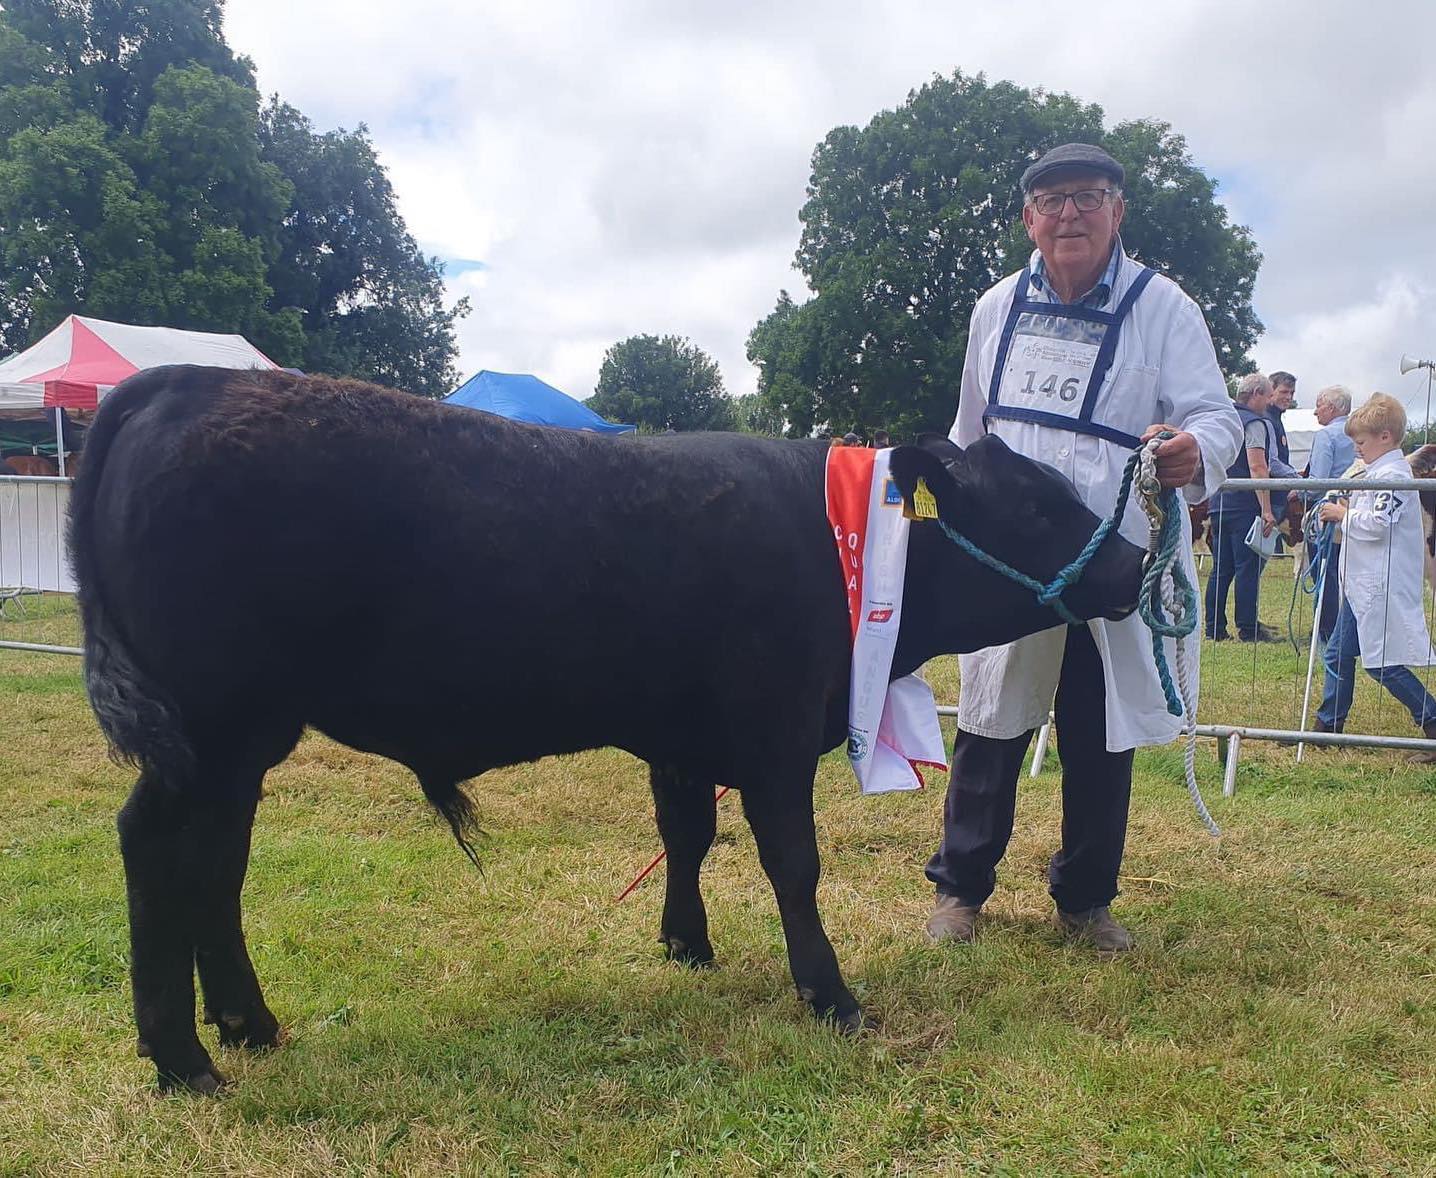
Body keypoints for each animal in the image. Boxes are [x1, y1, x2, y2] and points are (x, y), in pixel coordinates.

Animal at [69, 366, 1146, 1093]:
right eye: (1036, 504)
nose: (1133, 563)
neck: (839, 541)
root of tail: (183, 380)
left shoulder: (681, 734)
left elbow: (687, 833)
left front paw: (685, 943)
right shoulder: (771, 730)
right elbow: (791, 864)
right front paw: (829, 993)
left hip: (242, 739)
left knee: (216, 861)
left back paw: (246, 1023)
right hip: (208, 724)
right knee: (153, 846)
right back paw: (183, 1058)